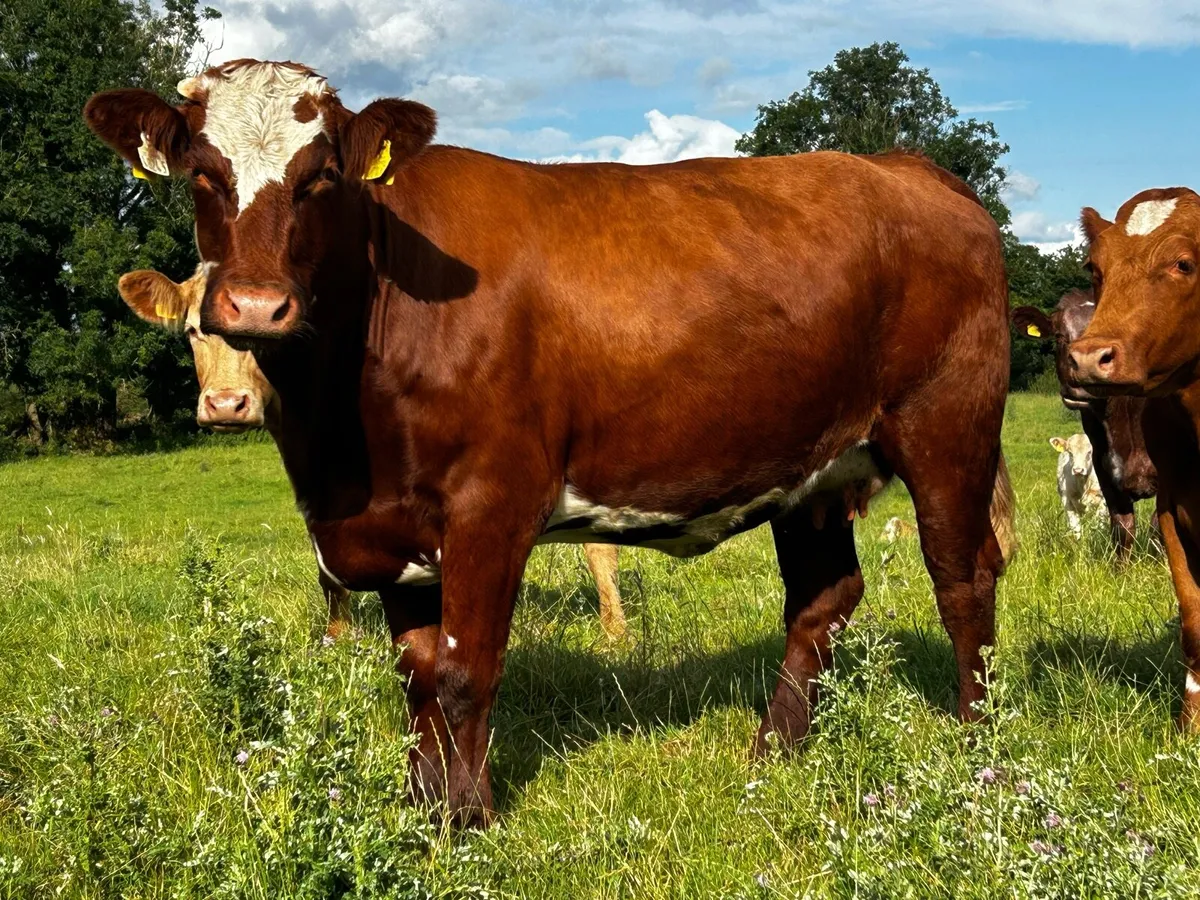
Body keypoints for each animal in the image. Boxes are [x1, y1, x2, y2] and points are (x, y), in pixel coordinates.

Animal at [1064, 186, 1200, 730]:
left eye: (1184, 263)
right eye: (1094, 268)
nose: (1087, 358)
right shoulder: (1172, 507)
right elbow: (1193, 622)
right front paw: (1188, 728)